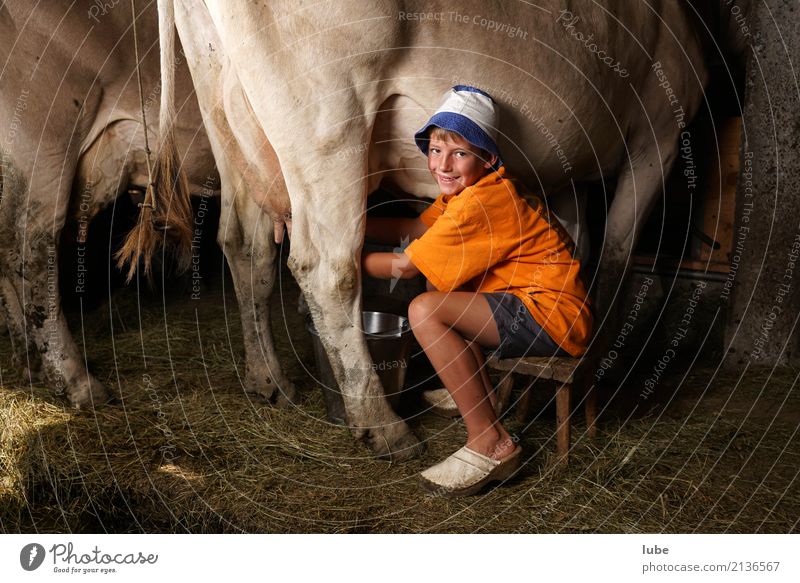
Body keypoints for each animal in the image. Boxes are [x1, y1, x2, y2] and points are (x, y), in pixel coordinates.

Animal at [141, 0, 708, 460]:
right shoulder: (657, 132)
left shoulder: (567, 169)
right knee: (326, 268)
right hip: (329, 119)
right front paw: (594, 368)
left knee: (245, 246)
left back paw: (269, 381)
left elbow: (571, 241)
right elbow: (615, 252)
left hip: (228, 117)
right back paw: (383, 427)